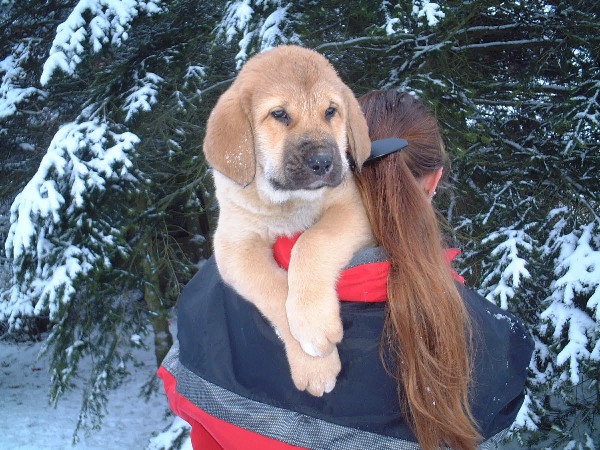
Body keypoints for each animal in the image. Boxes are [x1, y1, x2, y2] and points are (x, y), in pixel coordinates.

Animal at [204, 45, 378, 396]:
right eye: (279, 114)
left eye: (331, 111)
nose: (323, 162)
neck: (286, 204)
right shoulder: (233, 248)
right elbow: (273, 287)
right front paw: (313, 363)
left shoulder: (352, 207)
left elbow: (312, 242)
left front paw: (313, 322)